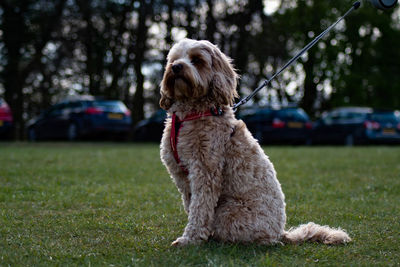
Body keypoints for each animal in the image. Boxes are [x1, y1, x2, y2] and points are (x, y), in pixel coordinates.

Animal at [159, 38, 350, 248]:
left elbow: (200, 208)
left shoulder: (205, 171)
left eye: (197, 60)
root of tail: (280, 233)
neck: (190, 114)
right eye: (174, 59)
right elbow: (191, 204)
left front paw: (190, 238)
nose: (176, 67)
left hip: (228, 212)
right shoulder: (181, 175)